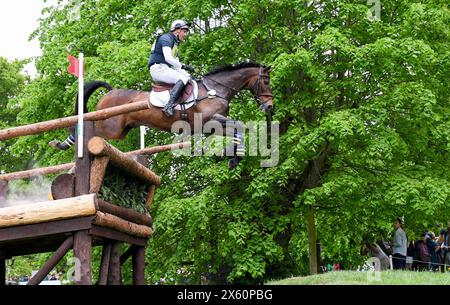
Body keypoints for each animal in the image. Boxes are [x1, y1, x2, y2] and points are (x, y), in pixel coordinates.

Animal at [50, 61, 274, 166]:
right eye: (265, 81)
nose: (270, 106)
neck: (215, 90)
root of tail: (110, 92)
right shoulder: (210, 121)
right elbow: (240, 125)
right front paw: (234, 157)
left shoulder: (213, 127)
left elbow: (238, 130)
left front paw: (233, 157)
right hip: (110, 128)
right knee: (86, 129)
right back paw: (63, 144)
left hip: (121, 130)